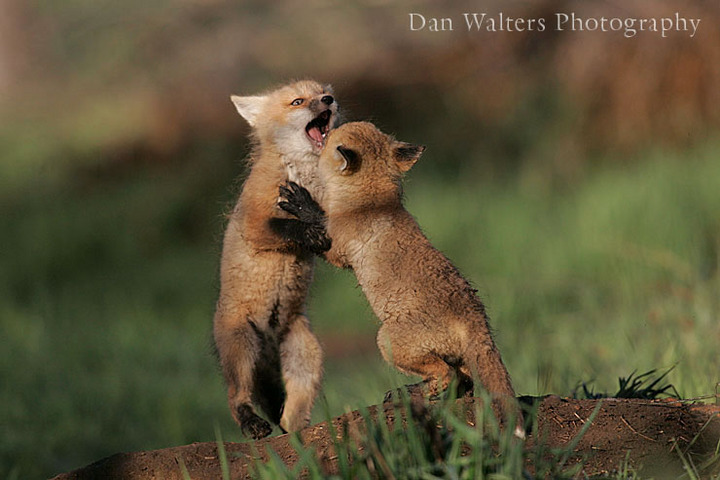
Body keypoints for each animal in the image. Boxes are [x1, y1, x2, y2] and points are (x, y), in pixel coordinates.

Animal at [213, 80, 338, 440]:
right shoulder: (255, 223)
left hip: (307, 355)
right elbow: (285, 226)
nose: (329, 100)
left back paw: (293, 431)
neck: (302, 173)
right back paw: (251, 423)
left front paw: (312, 219)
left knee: (288, 414)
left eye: (324, 92)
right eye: (298, 102)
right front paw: (308, 229)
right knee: (236, 397)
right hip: (241, 348)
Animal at [277, 121, 522, 431]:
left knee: (446, 376)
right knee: (463, 383)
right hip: (461, 359)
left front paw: (299, 203)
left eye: (331, 137)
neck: (371, 203)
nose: (326, 126)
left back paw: (408, 394)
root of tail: (476, 320)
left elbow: (317, 223)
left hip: (387, 341)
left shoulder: (335, 248)